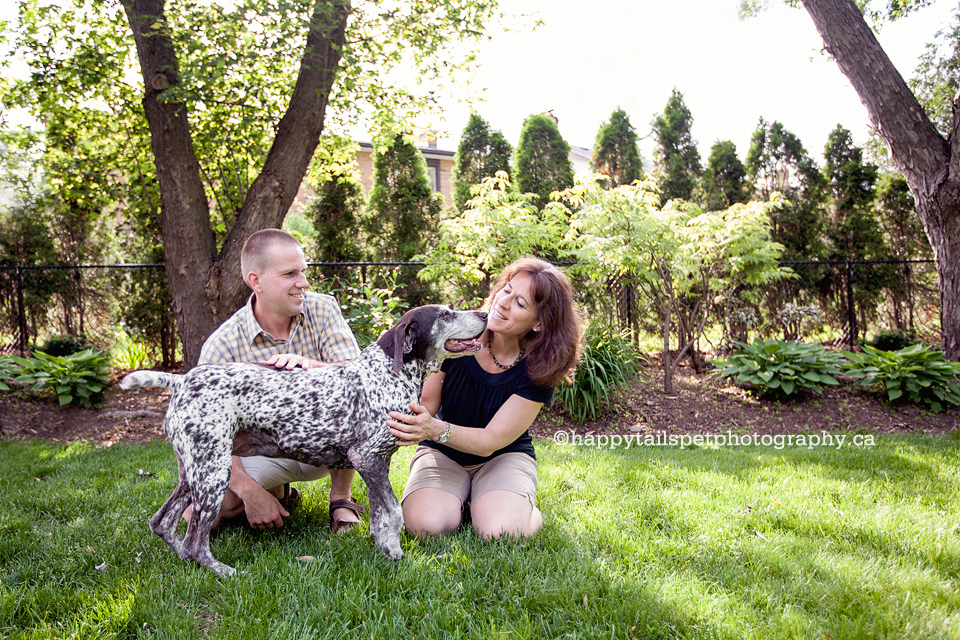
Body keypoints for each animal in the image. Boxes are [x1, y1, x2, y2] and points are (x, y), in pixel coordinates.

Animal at [120, 304, 488, 576]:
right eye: (445, 314)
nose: (485, 314)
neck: (389, 374)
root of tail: (181, 381)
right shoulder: (367, 457)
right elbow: (394, 512)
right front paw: (396, 553)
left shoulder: (377, 462)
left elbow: (381, 517)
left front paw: (383, 547)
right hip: (213, 474)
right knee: (194, 542)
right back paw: (223, 571)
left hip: (193, 472)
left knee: (163, 523)